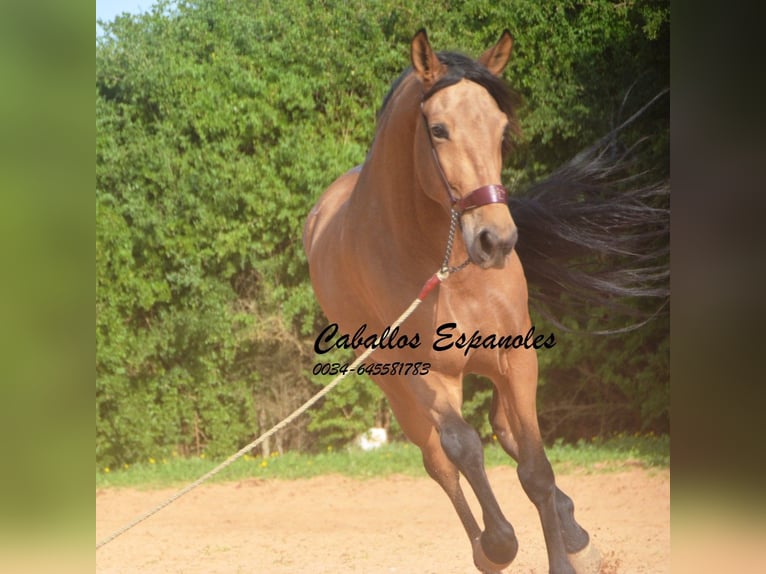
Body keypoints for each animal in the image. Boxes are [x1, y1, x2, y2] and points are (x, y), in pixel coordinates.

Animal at [304, 29, 668, 572]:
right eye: (438, 129)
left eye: (500, 130)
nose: (496, 239)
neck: (446, 266)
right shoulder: (426, 377)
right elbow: (463, 448)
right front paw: (498, 543)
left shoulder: (517, 356)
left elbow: (534, 464)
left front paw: (565, 553)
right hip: (393, 385)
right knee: (440, 460)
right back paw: (489, 543)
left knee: (507, 433)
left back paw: (574, 532)